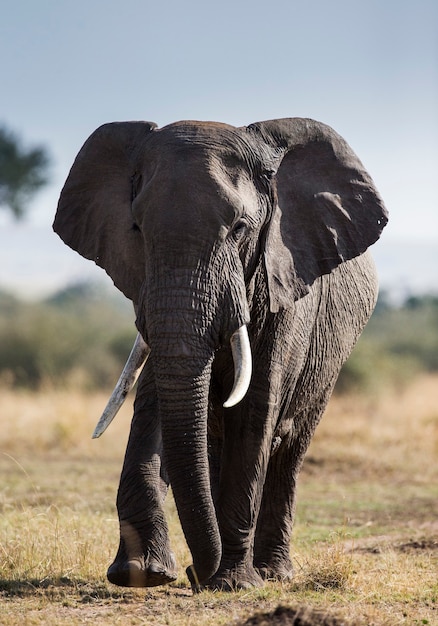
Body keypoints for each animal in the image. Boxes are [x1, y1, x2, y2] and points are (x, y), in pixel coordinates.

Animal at [54, 117, 386, 588]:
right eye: (137, 229)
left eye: (240, 229)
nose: (194, 572)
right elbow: (155, 399)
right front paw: (142, 573)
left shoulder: (285, 281)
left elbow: (255, 411)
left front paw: (232, 584)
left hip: (333, 357)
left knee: (289, 448)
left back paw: (272, 573)